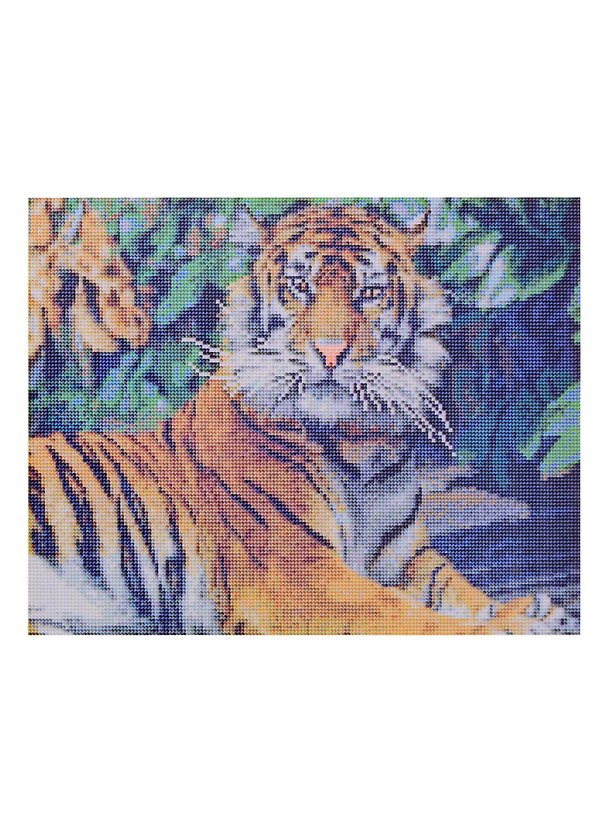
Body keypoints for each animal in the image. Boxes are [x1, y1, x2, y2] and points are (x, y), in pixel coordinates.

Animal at [28, 203, 574, 634]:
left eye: (369, 292)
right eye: (299, 287)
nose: (330, 352)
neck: (360, 444)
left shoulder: (402, 558)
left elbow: (458, 588)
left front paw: (536, 611)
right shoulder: (299, 574)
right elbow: (405, 616)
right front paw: (517, 625)